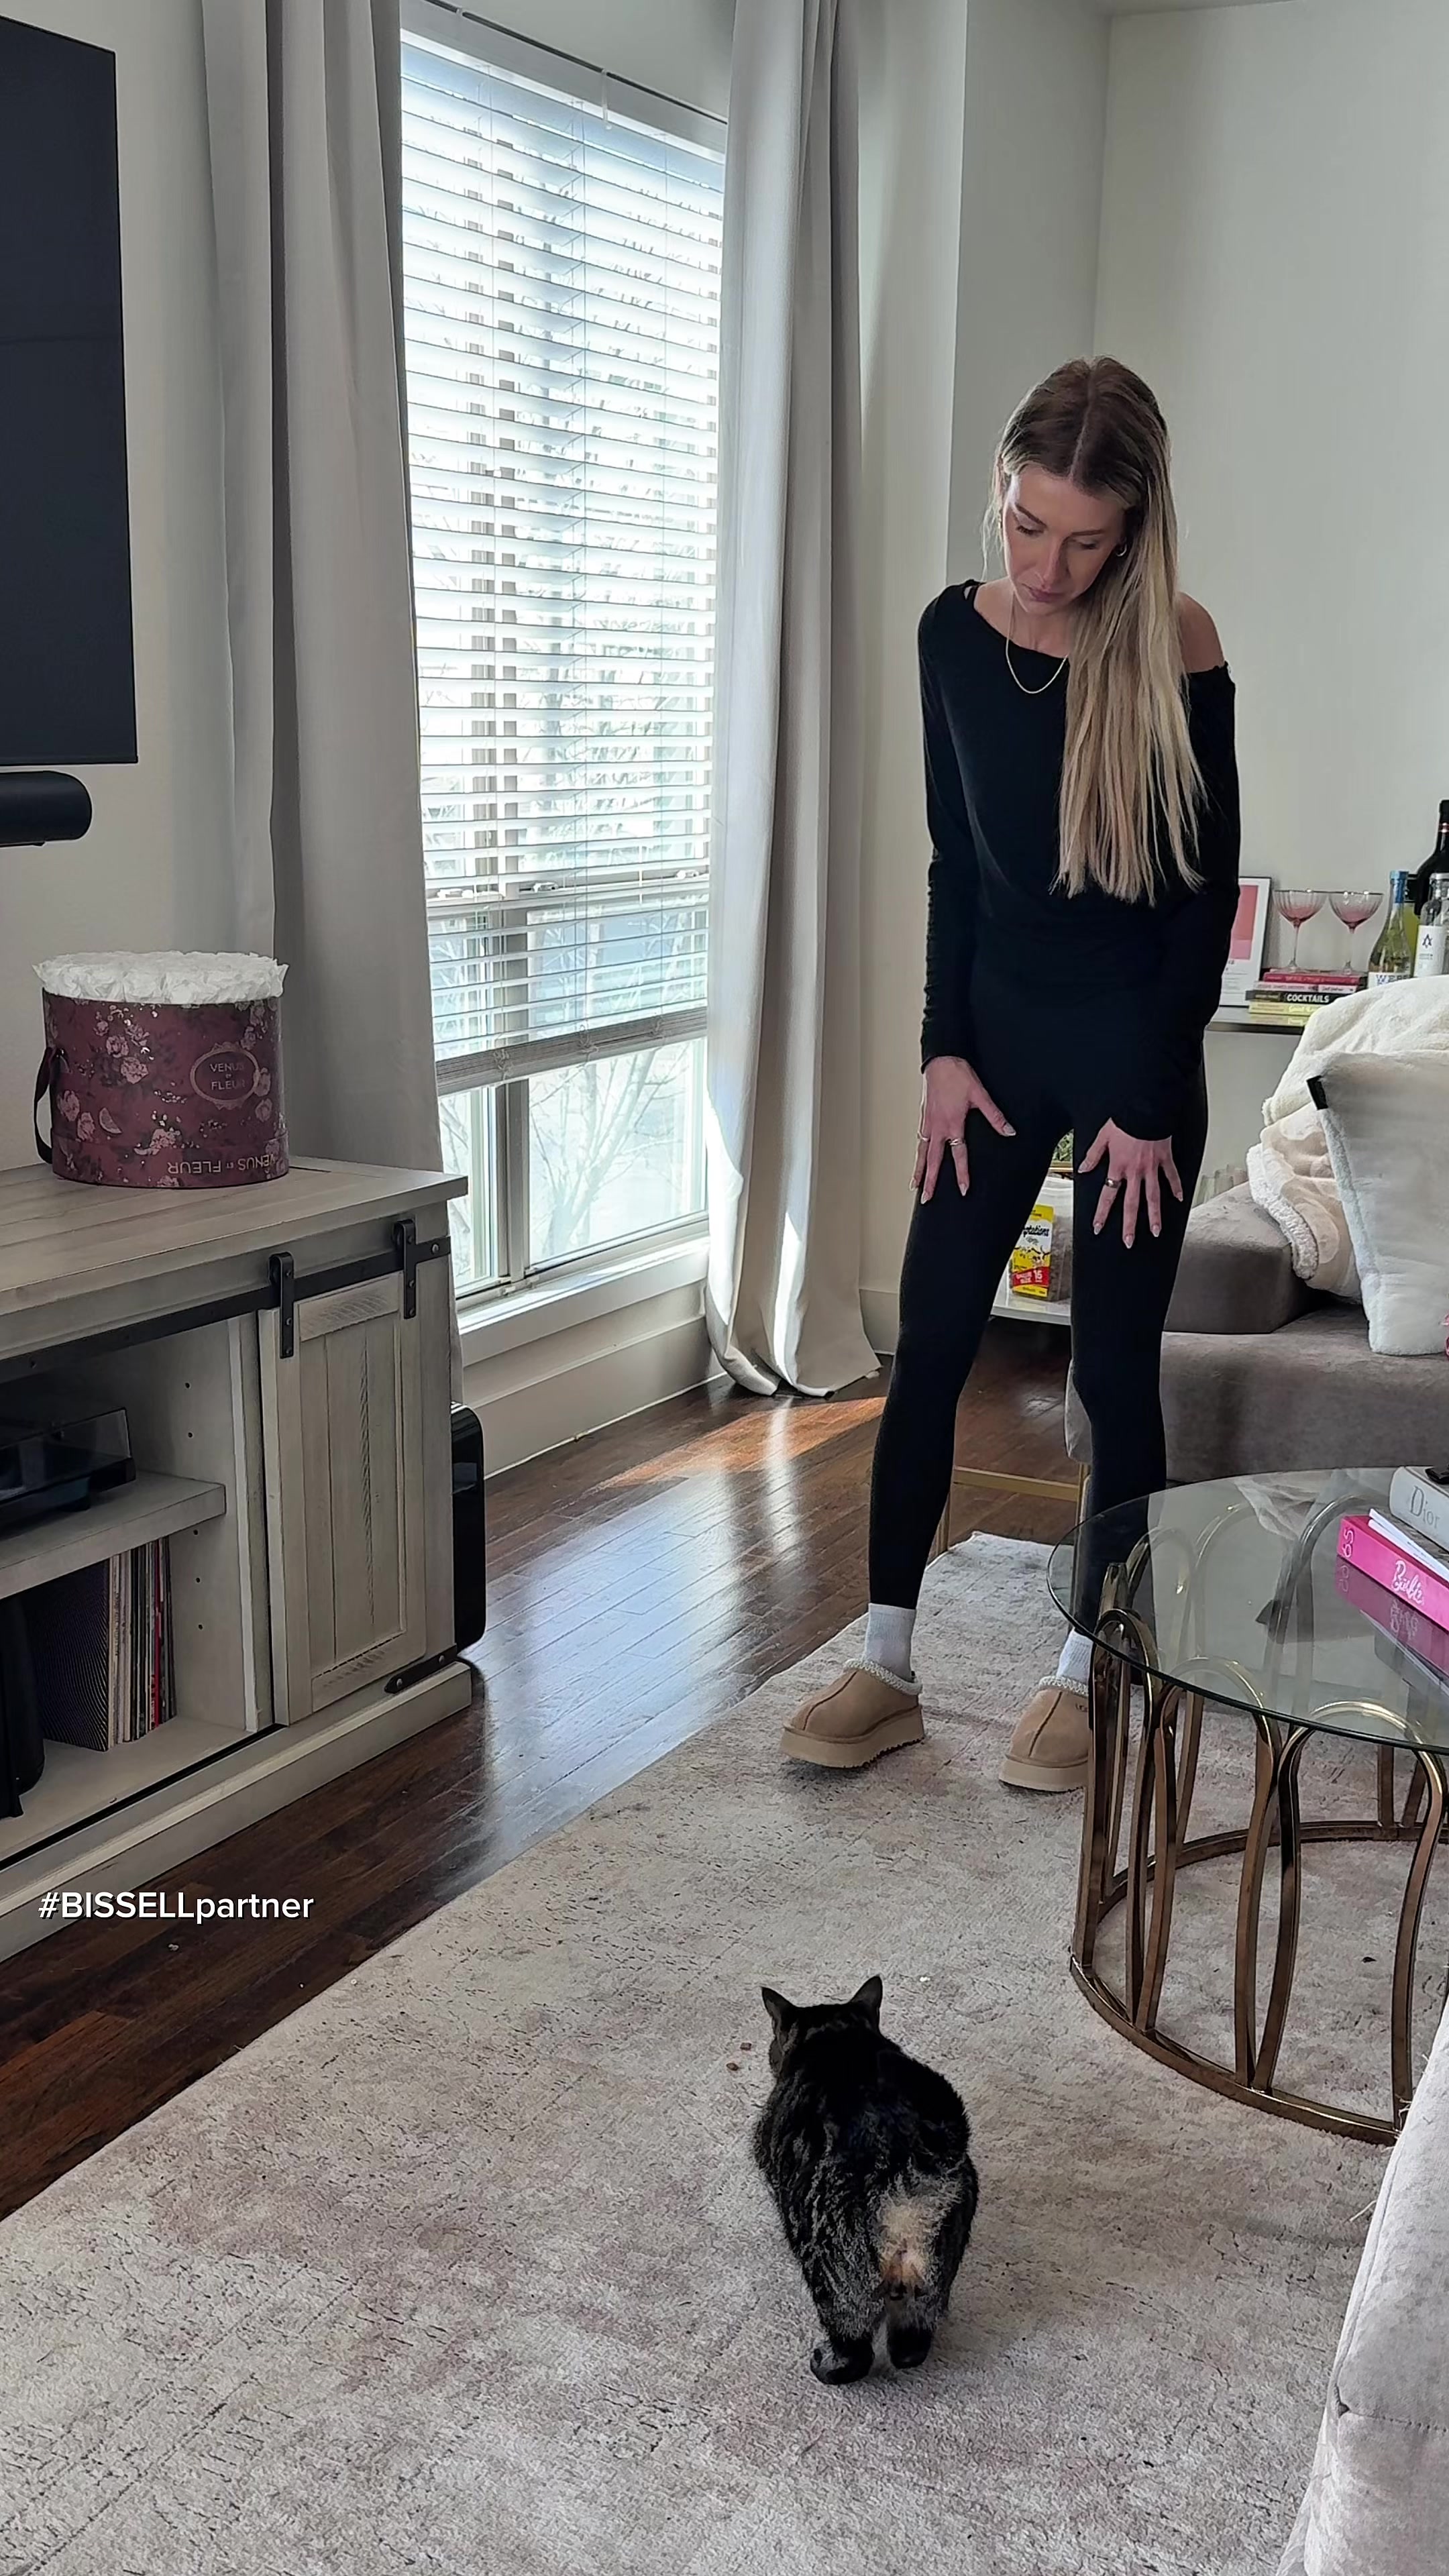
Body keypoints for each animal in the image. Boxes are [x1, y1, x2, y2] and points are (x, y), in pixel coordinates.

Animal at [752, 1974, 978, 2384]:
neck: (838, 2037)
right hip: (933, 2278)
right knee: (909, 2348)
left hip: (835, 2279)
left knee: (856, 2352)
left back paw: (825, 2364)